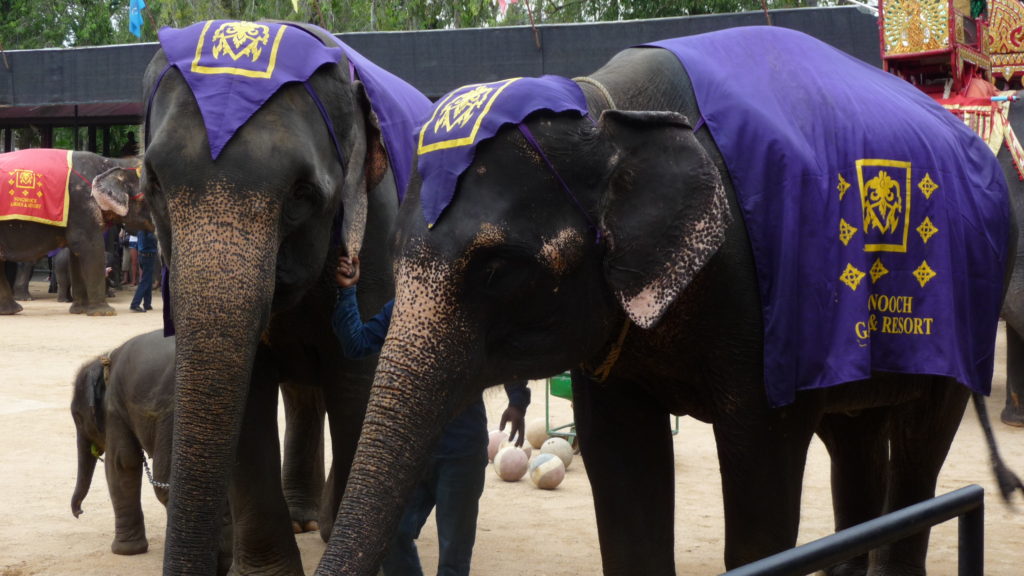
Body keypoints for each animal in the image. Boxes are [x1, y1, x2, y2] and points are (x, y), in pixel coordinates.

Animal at [0, 148, 149, 313]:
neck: (112, 161)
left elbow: (77, 253)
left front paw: (80, 310)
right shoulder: (82, 203)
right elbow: (89, 245)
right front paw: (104, 312)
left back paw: (12, 309)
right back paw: (22, 302)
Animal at [70, 327, 232, 569]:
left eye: (78, 418)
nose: (79, 512)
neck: (106, 359)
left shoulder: (115, 407)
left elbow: (121, 464)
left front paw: (124, 552)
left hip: (174, 413)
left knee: (167, 484)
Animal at [142, 20, 430, 569]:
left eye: (302, 193)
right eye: (154, 186)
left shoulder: (378, 233)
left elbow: (358, 383)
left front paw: (346, 540)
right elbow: (249, 394)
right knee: (301, 393)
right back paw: (304, 518)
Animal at [319, 26, 1015, 573]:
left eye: (494, 270)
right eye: (397, 258)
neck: (606, 112)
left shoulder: (766, 307)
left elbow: (762, 482)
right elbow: (623, 476)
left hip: (955, 313)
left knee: (920, 443)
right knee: (855, 438)